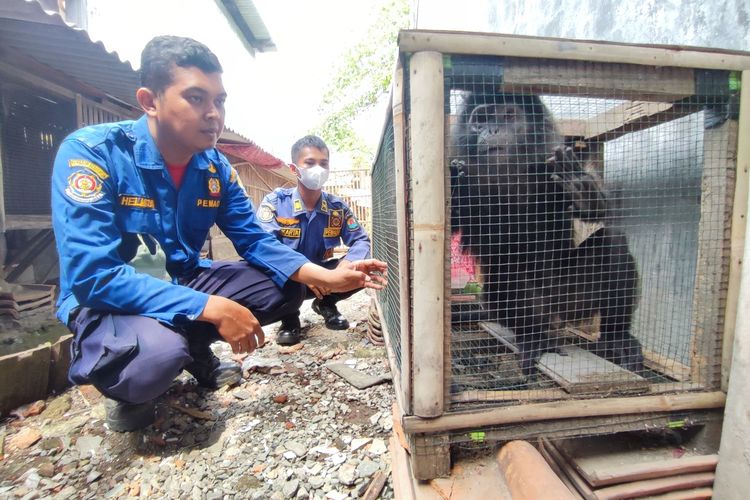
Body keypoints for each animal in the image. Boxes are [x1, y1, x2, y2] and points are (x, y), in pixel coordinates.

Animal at [452, 93, 648, 376]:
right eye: (480, 119)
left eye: (508, 115)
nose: (491, 130)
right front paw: (452, 186)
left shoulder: (550, 163)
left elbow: (600, 210)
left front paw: (584, 191)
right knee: (506, 270)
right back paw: (533, 338)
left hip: (572, 300)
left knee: (613, 241)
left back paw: (616, 337)